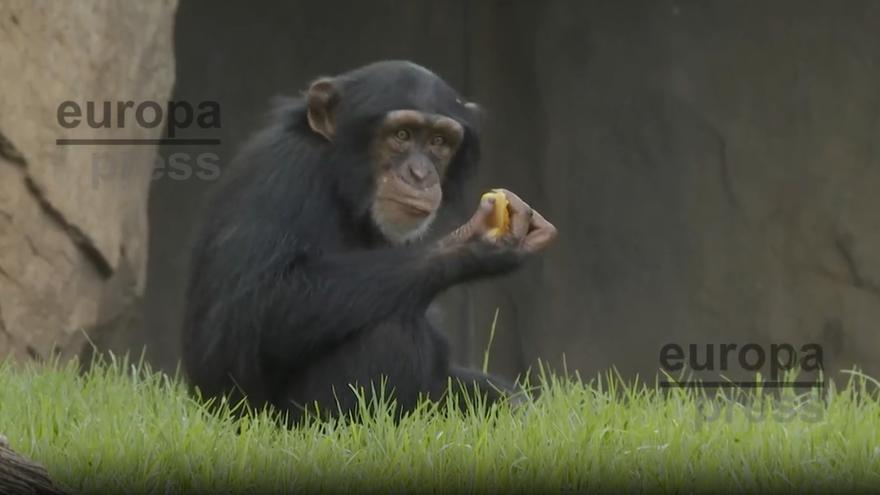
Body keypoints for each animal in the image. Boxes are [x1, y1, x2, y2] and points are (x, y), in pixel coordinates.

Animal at [180, 60, 556, 424]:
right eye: (401, 134)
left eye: (438, 141)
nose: (420, 173)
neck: (339, 181)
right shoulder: (281, 175)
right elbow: (255, 305)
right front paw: (471, 246)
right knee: (388, 333)